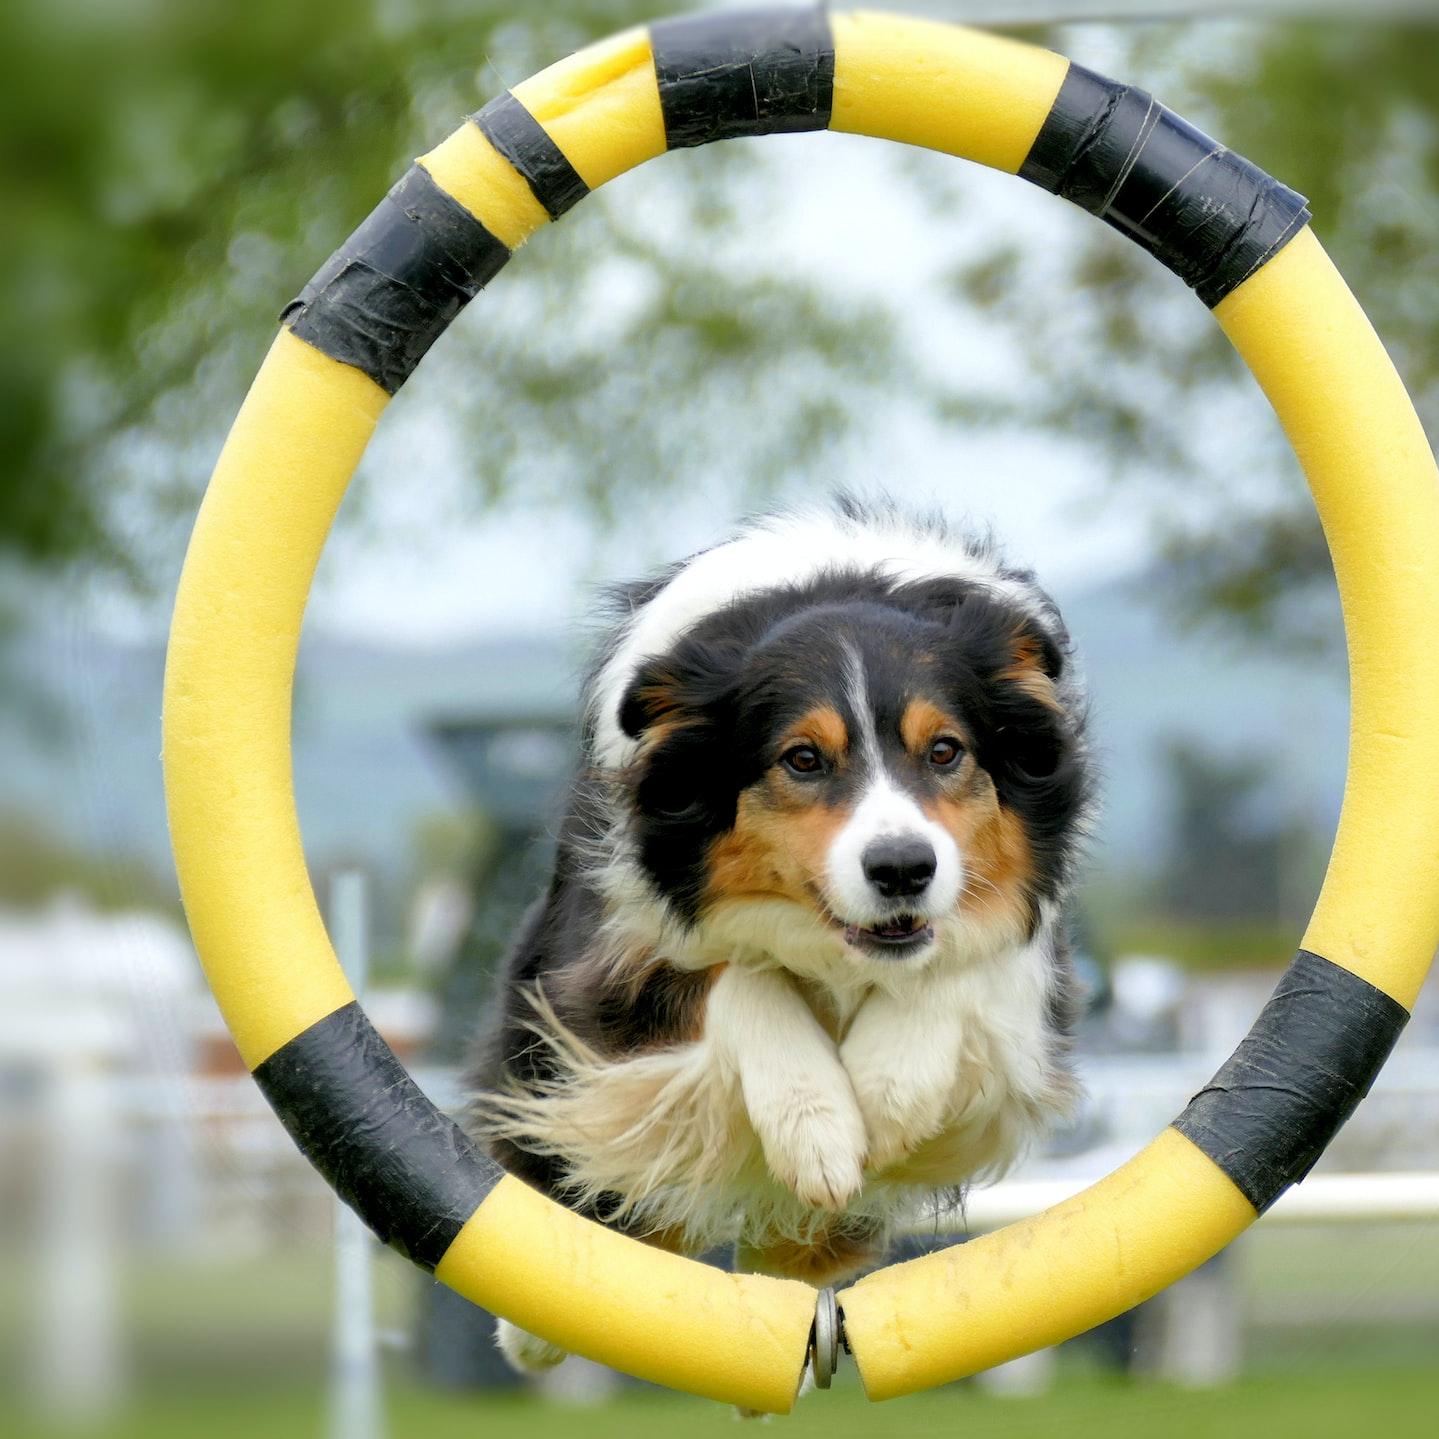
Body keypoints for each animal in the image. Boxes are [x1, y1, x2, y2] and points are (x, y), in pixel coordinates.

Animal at [471, 500, 1087, 1375]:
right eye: (801, 759)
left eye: (945, 750)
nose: (902, 868)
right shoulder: (614, 949)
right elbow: (738, 975)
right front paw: (818, 1127)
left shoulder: (1027, 961)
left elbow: (964, 960)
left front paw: (883, 1093)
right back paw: (535, 1326)